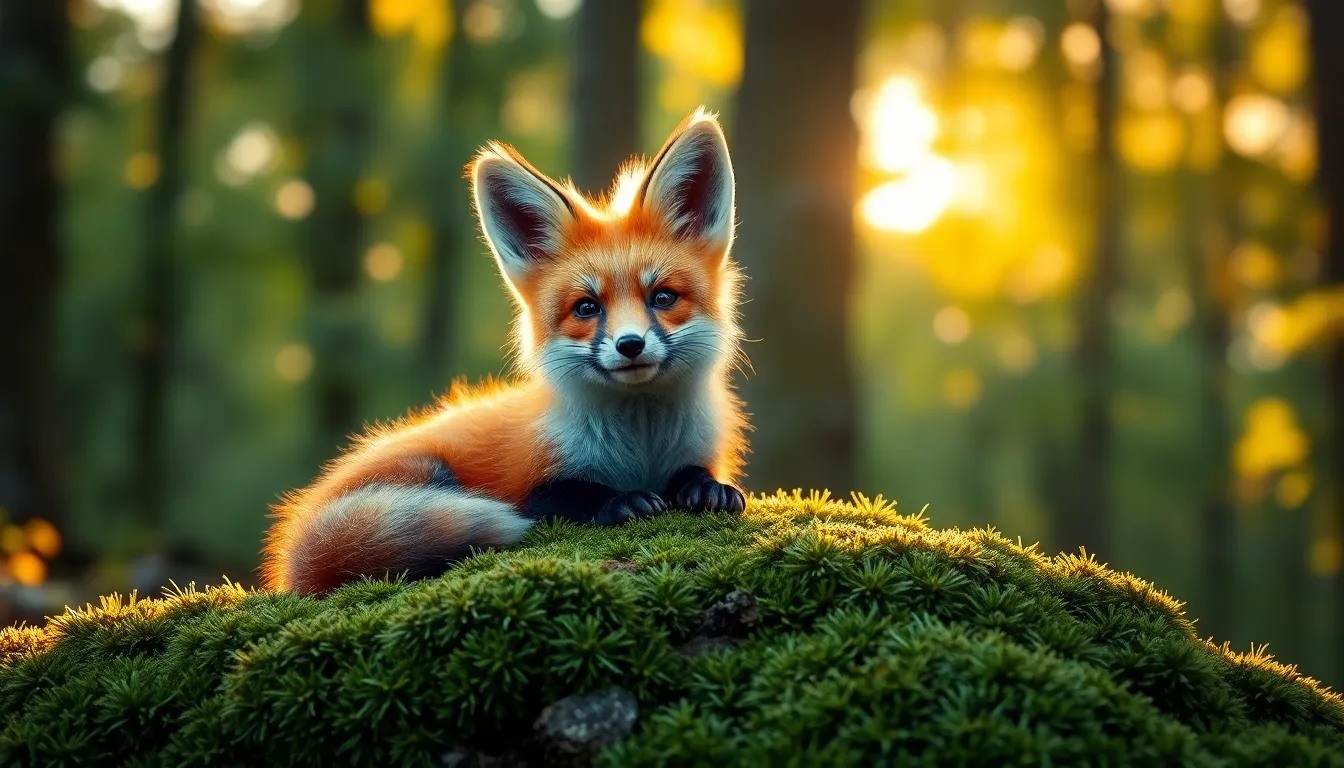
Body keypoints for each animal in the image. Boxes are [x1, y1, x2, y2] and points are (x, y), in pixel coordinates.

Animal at [261, 108, 750, 595]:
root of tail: (294, 546)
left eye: (663, 297)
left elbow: (696, 474)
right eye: (586, 307)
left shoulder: (700, 452)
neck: (640, 447)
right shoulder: (530, 481)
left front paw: (706, 490)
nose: (630, 344)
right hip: (429, 471)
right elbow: (566, 495)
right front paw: (621, 502)